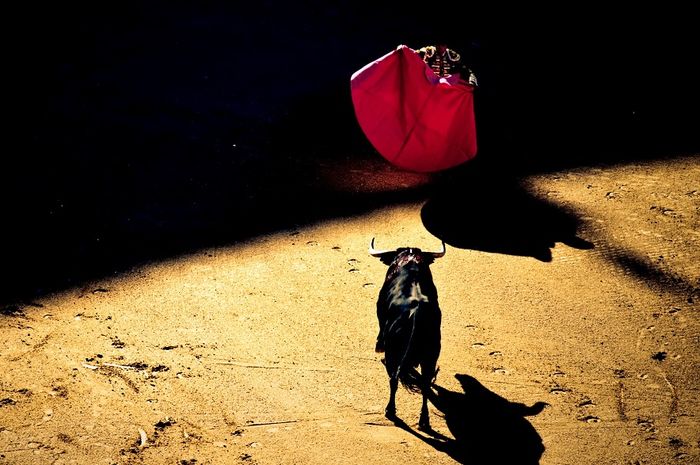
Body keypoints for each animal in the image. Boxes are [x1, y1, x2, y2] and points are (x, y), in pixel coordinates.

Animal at [370, 237, 446, 430]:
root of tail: (416, 312)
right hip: (431, 354)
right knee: (425, 384)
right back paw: (424, 420)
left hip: (394, 352)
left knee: (394, 379)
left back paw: (390, 411)